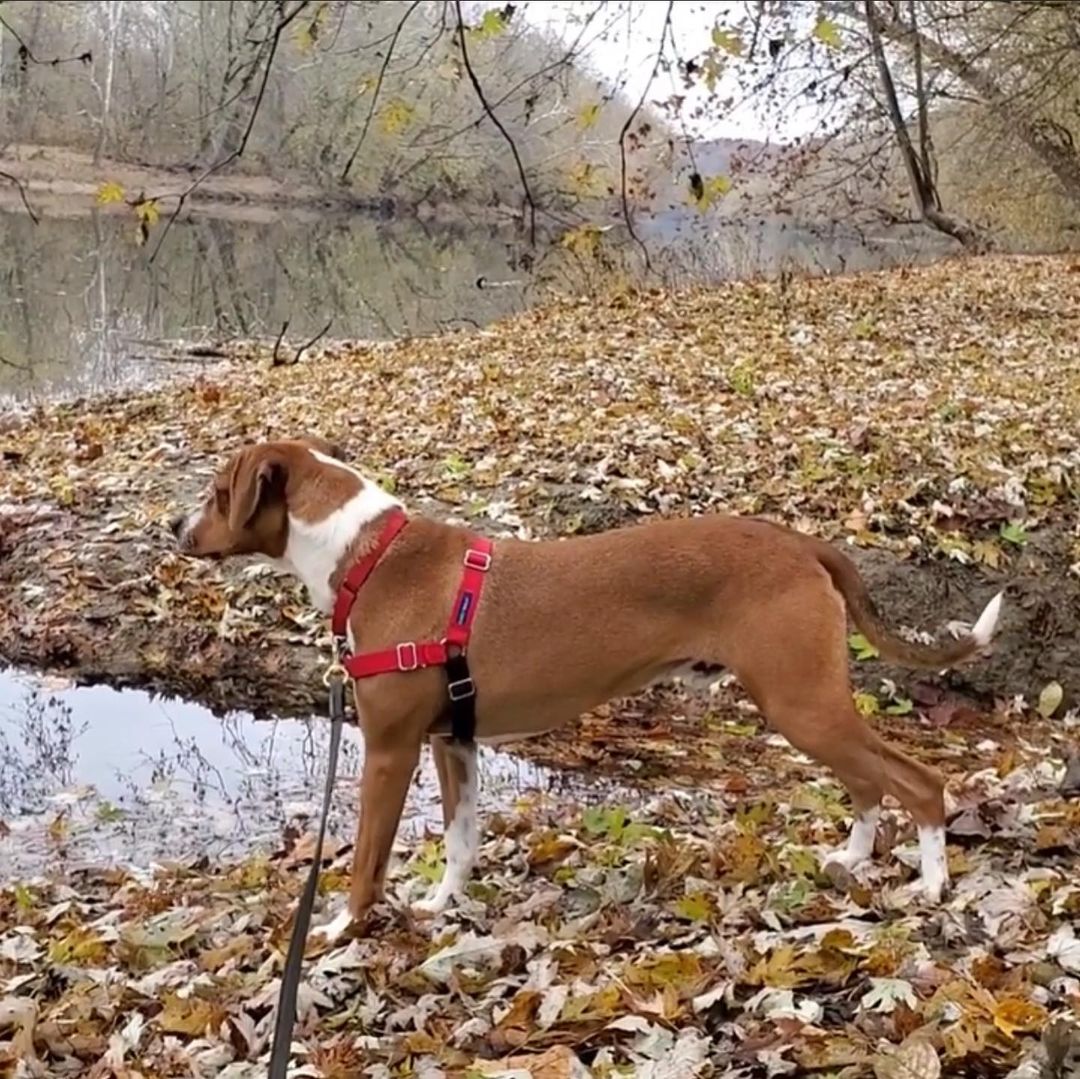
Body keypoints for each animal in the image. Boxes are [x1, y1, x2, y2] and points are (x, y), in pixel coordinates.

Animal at [170, 436, 1002, 920]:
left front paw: (344, 930)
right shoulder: (453, 743)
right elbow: (461, 839)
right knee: (867, 781)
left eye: (216, 493)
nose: (174, 530)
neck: (370, 555)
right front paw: (441, 903)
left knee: (917, 780)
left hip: (803, 700)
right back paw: (854, 858)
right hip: (806, 705)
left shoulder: (390, 750)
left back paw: (930, 884)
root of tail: (801, 543)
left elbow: (366, 861)